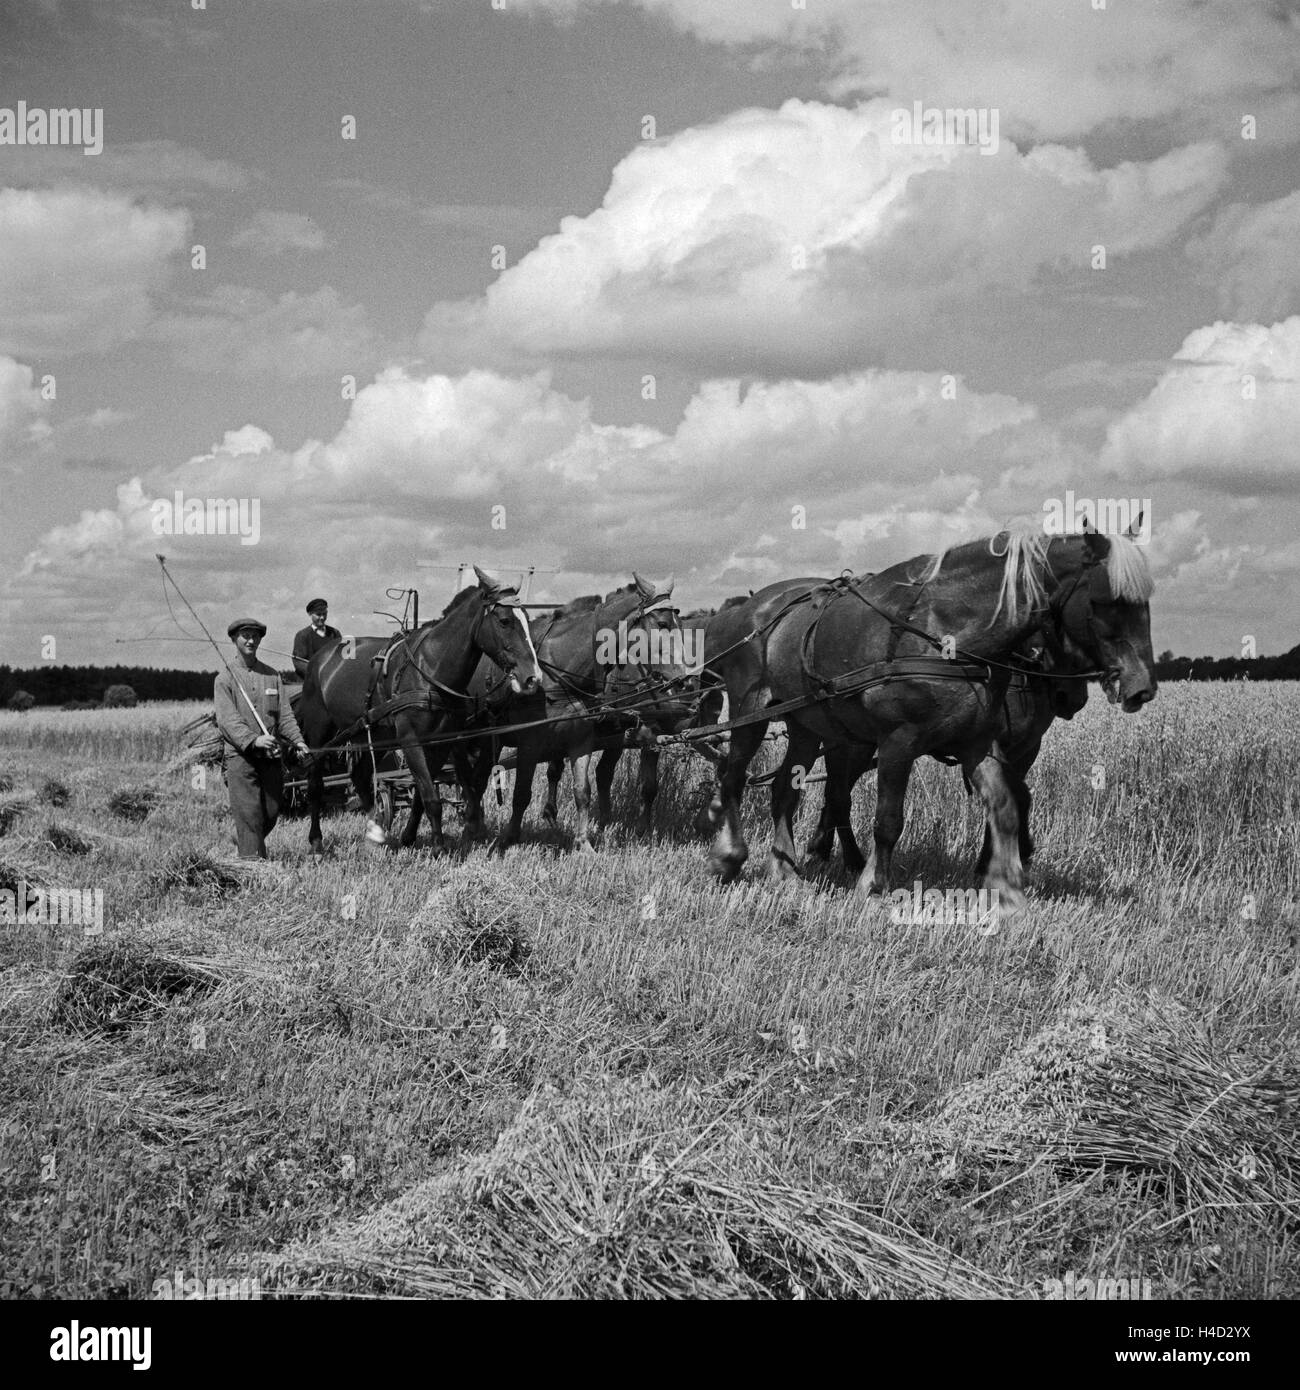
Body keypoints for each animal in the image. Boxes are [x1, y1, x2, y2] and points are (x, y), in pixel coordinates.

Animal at [298, 567, 545, 850]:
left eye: (526, 618)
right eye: (504, 621)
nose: (533, 677)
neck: (431, 669)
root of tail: (320, 658)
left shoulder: (441, 742)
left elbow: (423, 793)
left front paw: (410, 836)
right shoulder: (410, 739)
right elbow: (430, 795)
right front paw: (438, 845)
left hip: (370, 733)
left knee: (360, 776)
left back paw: (376, 831)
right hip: (319, 731)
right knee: (315, 783)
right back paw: (317, 840)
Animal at [706, 525, 1151, 906]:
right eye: (1103, 601)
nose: (1140, 687)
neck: (946, 636)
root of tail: (753, 606)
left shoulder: (980, 743)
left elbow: (1007, 804)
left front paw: (1004, 881)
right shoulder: (898, 740)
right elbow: (888, 819)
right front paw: (872, 885)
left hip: (809, 724)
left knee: (787, 788)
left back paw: (785, 868)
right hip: (752, 711)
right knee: (735, 778)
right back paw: (730, 856)